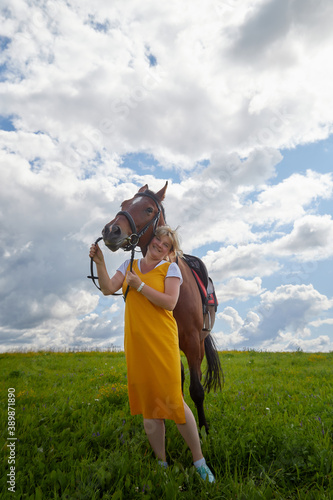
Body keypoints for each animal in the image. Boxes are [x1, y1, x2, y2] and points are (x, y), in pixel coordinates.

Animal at [100, 182, 222, 432]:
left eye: (148, 209)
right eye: (124, 204)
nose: (110, 231)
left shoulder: (192, 341)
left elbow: (197, 389)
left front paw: (204, 429)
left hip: (200, 342)